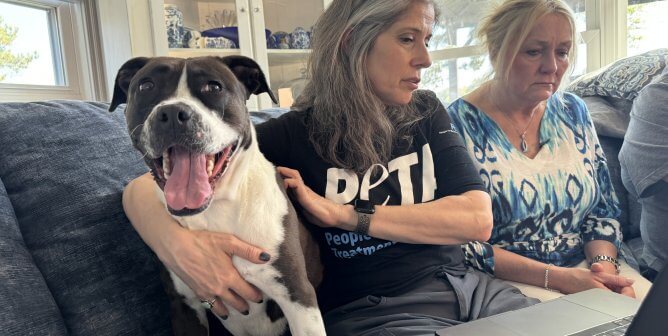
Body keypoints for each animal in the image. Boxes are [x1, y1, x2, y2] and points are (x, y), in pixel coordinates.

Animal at [109, 56, 326, 334]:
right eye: (146, 86)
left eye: (214, 87)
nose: (172, 114)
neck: (216, 210)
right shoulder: (184, 306)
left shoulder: (298, 297)